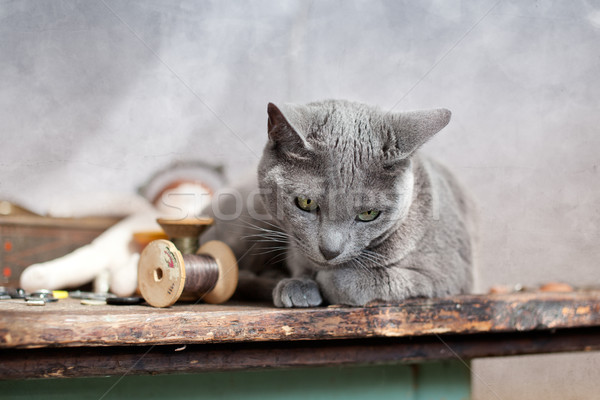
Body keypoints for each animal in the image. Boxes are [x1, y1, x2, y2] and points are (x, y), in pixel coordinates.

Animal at [204, 99, 476, 306]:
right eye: (305, 202)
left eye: (369, 213)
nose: (330, 251)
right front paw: (298, 285)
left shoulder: (449, 275)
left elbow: (374, 279)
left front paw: (321, 281)